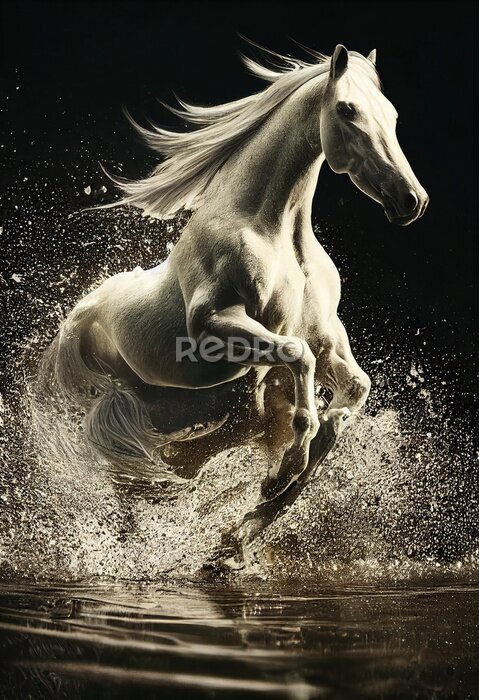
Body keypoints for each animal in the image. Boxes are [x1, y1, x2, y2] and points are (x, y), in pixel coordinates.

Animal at [39, 43, 428, 563]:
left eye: (392, 113)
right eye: (347, 109)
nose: (411, 200)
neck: (273, 233)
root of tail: (80, 316)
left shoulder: (326, 341)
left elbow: (349, 395)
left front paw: (255, 514)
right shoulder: (216, 325)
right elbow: (297, 361)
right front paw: (281, 475)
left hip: (188, 411)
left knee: (178, 463)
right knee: (142, 477)